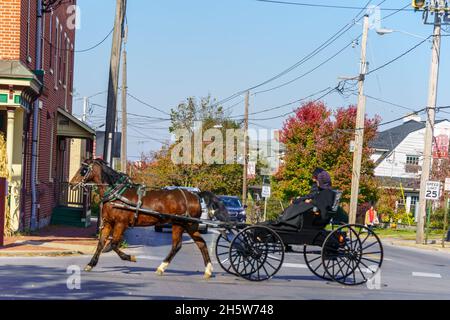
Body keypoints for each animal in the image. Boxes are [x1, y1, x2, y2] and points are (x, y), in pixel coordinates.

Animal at [70, 159, 229, 278]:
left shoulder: (121, 224)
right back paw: (207, 270)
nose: (72, 183)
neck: (117, 194)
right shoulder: (109, 223)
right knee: (201, 243)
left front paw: (131, 258)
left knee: (177, 245)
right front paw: (90, 264)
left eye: (83, 170)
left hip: (180, 224)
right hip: (189, 225)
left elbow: (114, 244)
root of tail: (195, 195)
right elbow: (101, 244)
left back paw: (161, 267)